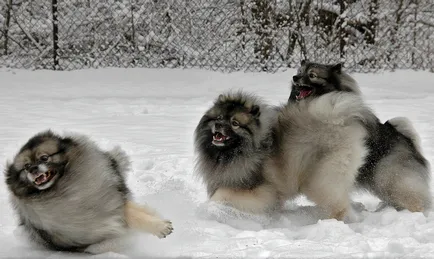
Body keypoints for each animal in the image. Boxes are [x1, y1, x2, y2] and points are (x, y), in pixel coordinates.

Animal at [4, 131, 173, 255]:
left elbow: (134, 215)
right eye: (26, 167)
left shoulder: (111, 199)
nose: (33, 169)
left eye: (44, 157)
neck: (66, 190)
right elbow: (99, 245)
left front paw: (160, 226)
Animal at [195, 90, 374, 220]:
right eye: (219, 117)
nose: (219, 125)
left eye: (235, 123)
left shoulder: (258, 191)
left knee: (338, 206)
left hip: (321, 179)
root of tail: (340, 122)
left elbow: (221, 196)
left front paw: (213, 209)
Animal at [288, 60, 430, 213]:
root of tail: (408, 140)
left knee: (414, 200)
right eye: (300, 72)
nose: (295, 78)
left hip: (388, 177)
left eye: (312, 75)